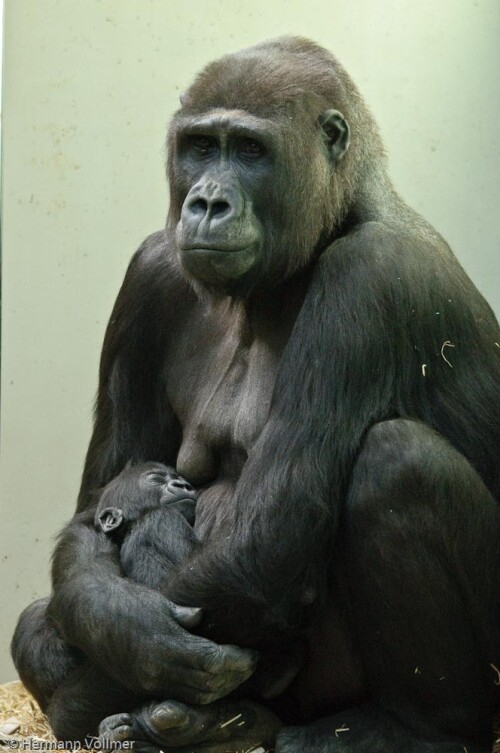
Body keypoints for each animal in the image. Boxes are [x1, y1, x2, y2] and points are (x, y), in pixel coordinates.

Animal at [10, 38, 500, 752]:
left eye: (248, 150)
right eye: (200, 147)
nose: (207, 203)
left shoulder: (370, 275)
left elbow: (265, 546)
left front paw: (105, 680)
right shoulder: (150, 272)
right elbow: (97, 504)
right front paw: (122, 623)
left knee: (398, 464)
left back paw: (411, 728)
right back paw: (219, 725)